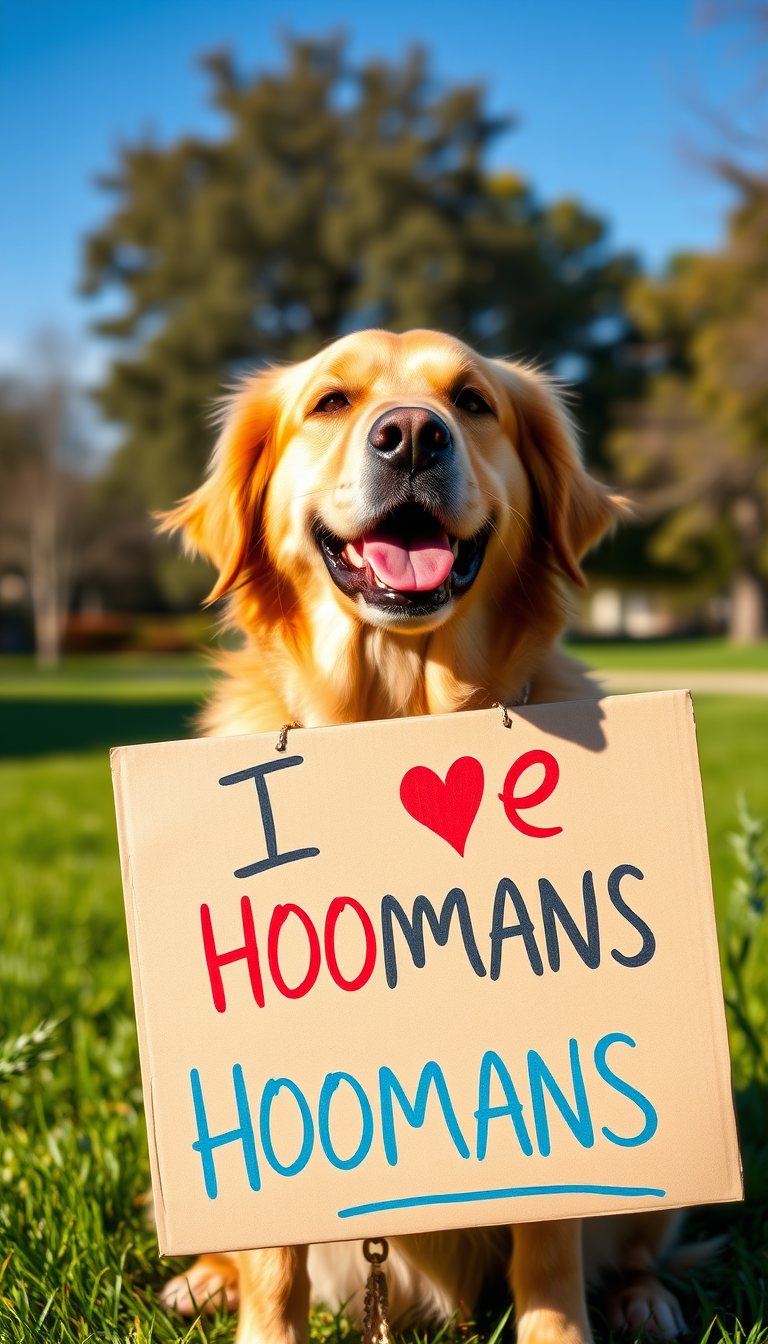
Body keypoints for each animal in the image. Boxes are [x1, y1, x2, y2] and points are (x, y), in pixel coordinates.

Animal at [158, 327, 699, 1344]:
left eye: (474, 402)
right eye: (331, 401)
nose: (411, 435)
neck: (396, 710)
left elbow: (550, 1249)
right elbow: (274, 1267)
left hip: (663, 1194)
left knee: (642, 1244)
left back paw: (643, 1298)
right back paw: (202, 1279)